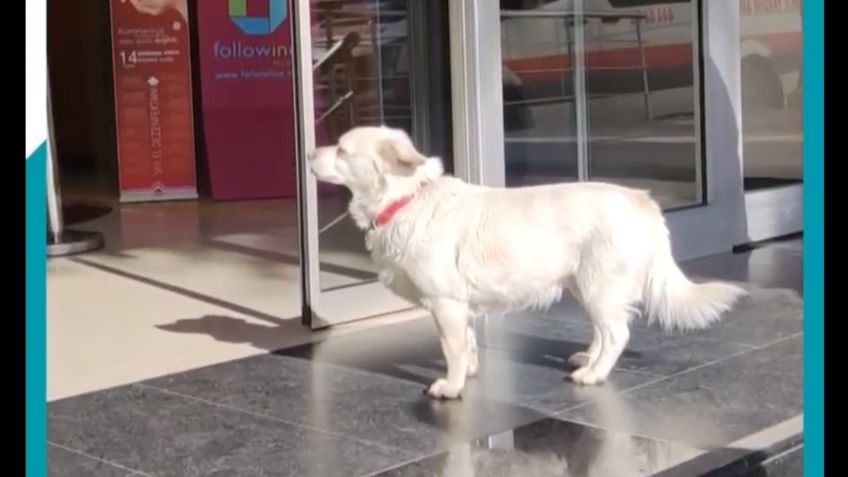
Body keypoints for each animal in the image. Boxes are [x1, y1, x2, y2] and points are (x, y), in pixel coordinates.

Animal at [308, 124, 744, 396]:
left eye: (342, 149)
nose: (309, 152)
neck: (408, 199)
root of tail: (643, 201)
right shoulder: (461, 306)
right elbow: (468, 343)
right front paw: (470, 371)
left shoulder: (446, 304)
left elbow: (452, 349)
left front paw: (451, 386)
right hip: (586, 287)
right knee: (603, 332)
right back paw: (588, 358)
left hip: (600, 287)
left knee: (617, 334)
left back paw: (593, 374)